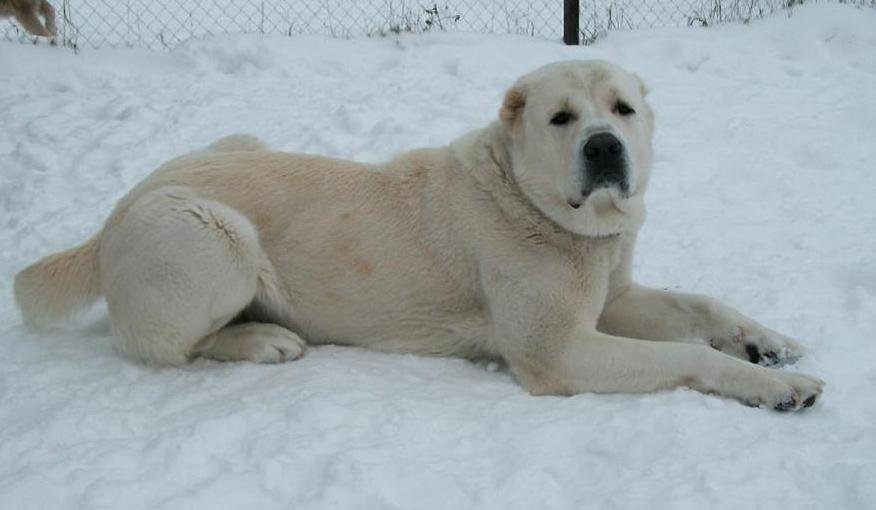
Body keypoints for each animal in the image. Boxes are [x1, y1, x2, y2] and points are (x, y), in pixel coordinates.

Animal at [13, 59, 820, 410]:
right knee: (165, 347)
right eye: (562, 118)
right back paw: (262, 339)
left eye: (621, 109)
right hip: (213, 234)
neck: (537, 207)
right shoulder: (558, 352)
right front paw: (775, 386)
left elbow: (702, 307)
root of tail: (115, 211)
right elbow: (688, 352)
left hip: (235, 143)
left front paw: (768, 342)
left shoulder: (611, 298)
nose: (603, 147)